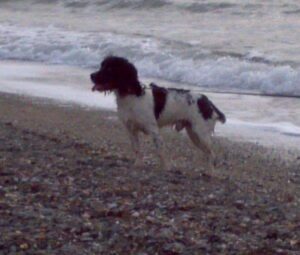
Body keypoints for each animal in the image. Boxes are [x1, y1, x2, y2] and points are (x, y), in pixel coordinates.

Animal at [90, 56, 226, 170]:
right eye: (102, 66)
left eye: (109, 69)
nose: (91, 75)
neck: (131, 95)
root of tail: (207, 101)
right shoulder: (131, 129)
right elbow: (136, 149)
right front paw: (138, 164)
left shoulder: (153, 130)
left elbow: (160, 150)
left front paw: (166, 168)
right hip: (194, 134)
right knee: (208, 154)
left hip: (201, 134)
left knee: (212, 154)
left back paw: (211, 173)